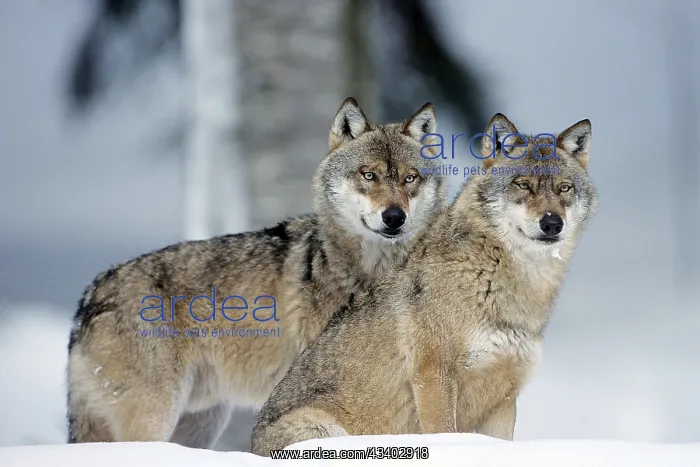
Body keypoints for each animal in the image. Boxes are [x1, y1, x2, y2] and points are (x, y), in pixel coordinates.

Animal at [66, 98, 446, 448]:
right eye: (369, 175)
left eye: (410, 178)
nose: (394, 217)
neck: (375, 268)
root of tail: (90, 295)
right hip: (156, 418)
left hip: (200, 423)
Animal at [251, 113, 598, 455]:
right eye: (523, 184)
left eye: (565, 188)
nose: (552, 223)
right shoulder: (434, 378)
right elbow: (445, 434)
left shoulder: (504, 398)